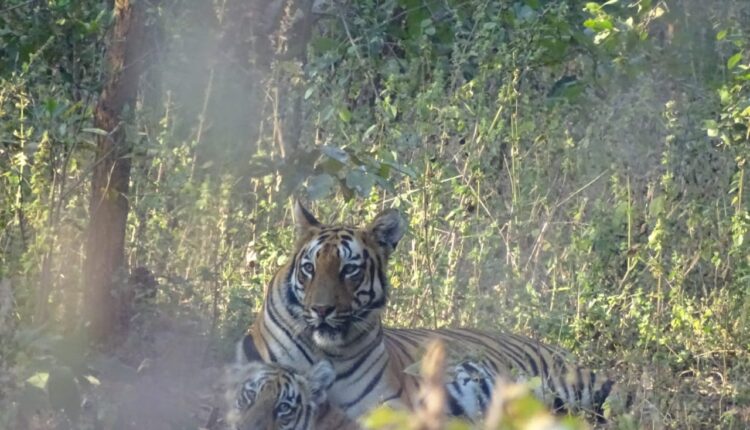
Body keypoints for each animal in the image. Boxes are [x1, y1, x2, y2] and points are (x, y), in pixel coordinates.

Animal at [241, 201, 628, 422]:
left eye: (349, 270)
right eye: (310, 268)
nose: (321, 310)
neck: (328, 351)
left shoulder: (390, 409)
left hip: (580, 385)